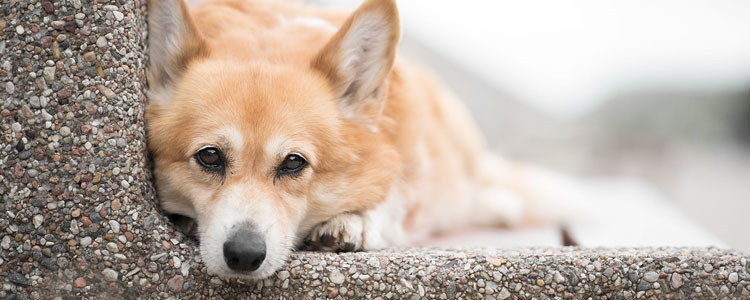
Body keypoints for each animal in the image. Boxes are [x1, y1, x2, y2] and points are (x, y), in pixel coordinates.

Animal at [145, 0, 580, 278]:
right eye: (210, 157)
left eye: (294, 162)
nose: (244, 256)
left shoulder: (407, 172)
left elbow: (395, 198)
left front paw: (353, 223)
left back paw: (499, 204)